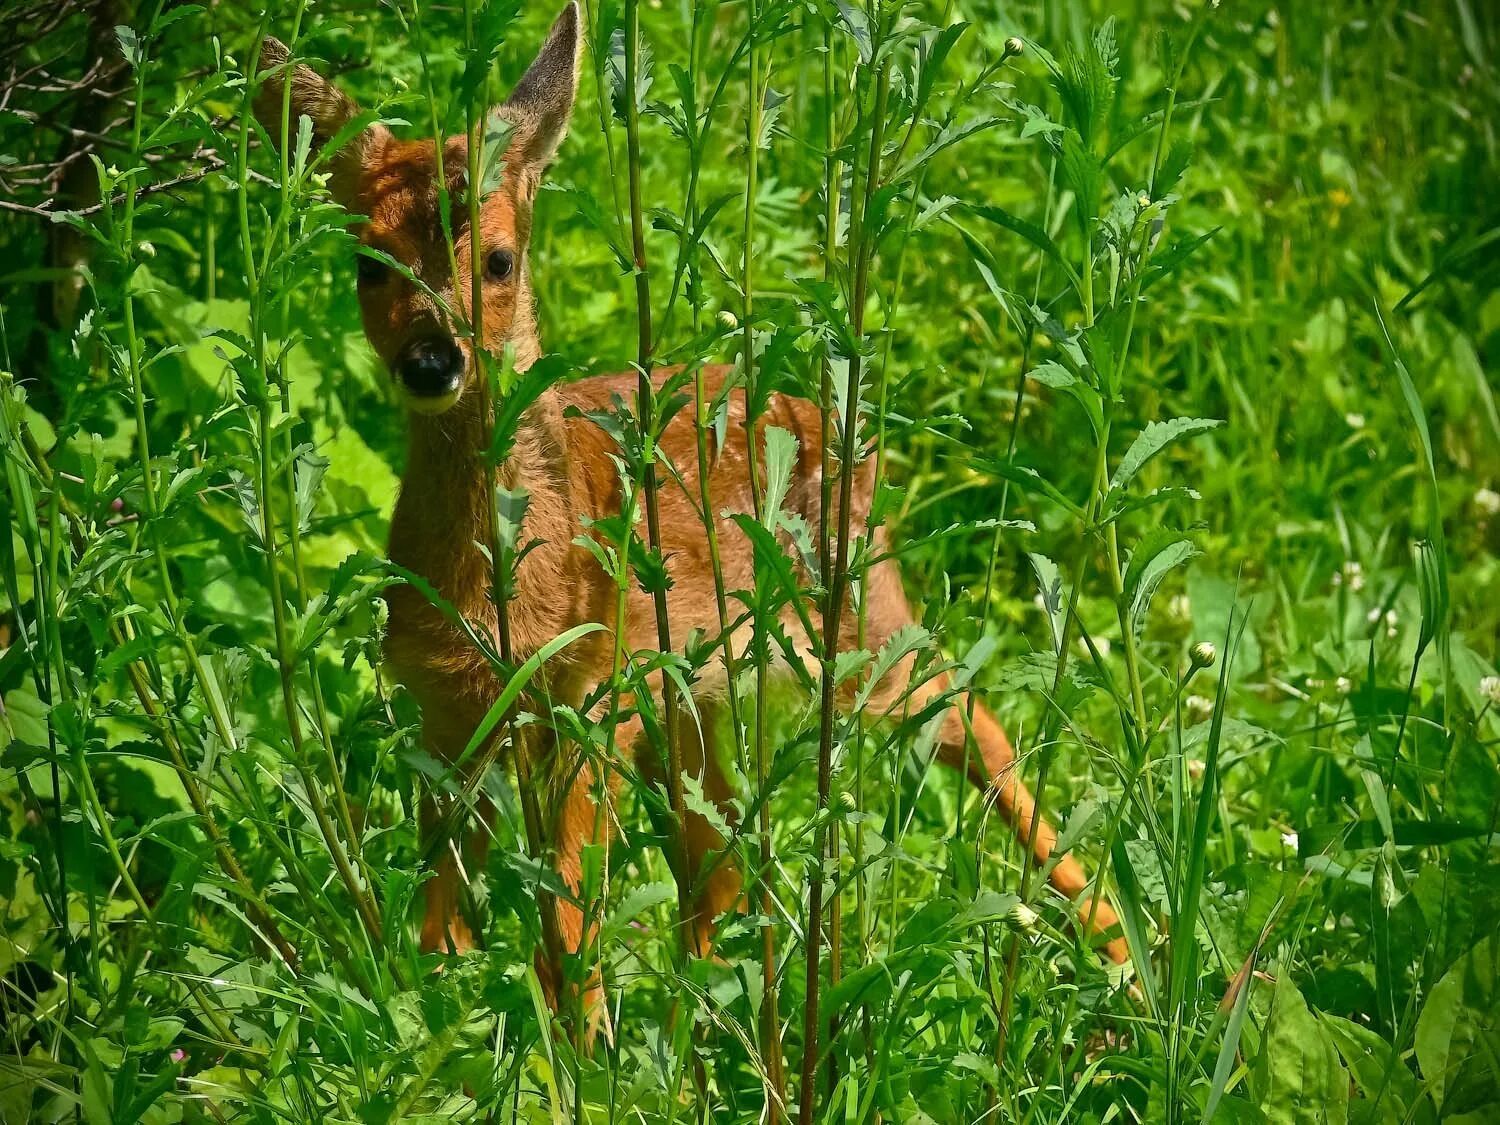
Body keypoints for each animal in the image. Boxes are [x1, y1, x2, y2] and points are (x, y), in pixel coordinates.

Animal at [255, 0, 1128, 1014]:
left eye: (501, 258)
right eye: (369, 265)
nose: (433, 362)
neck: (504, 599)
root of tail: (831, 417)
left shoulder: (590, 698)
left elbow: (568, 929)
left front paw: (585, 1045)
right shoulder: (447, 713)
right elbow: (446, 924)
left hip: (860, 624)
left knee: (976, 727)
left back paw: (1134, 962)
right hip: (696, 690)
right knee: (719, 866)